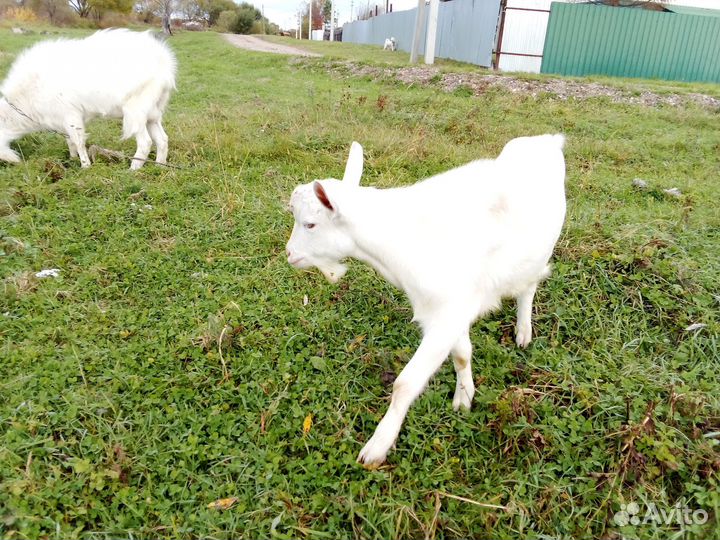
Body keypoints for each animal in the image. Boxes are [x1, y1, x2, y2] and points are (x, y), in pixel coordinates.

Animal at [0, 29, 176, 170]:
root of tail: (165, 63)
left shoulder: (71, 114)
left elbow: (78, 141)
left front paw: (85, 166)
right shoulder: (62, 119)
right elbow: (70, 140)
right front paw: (71, 159)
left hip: (136, 110)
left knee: (145, 142)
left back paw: (133, 170)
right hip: (153, 112)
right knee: (162, 139)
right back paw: (160, 166)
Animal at [286, 135, 567, 466]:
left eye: (310, 224)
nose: (290, 254)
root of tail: (546, 140)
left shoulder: (446, 316)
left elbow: (405, 383)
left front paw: (377, 446)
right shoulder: (450, 312)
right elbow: (462, 355)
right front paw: (464, 398)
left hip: (540, 252)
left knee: (529, 286)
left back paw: (523, 331)